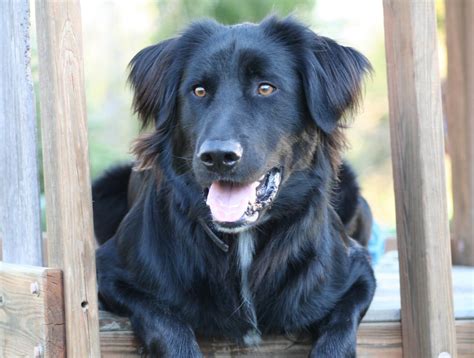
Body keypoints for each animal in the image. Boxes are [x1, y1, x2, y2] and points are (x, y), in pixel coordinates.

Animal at [92, 15, 374, 356]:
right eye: (199, 91)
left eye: (265, 88)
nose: (217, 156)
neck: (242, 241)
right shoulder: (107, 269)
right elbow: (165, 320)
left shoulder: (359, 270)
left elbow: (339, 329)